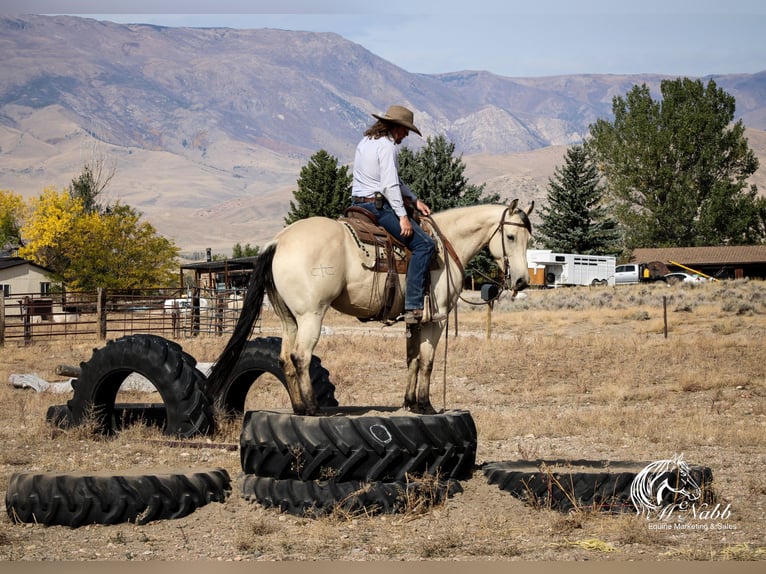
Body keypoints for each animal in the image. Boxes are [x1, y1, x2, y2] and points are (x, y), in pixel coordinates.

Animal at [207, 200, 536, 416]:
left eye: (528, 237)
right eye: (510, 236)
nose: (521, 280)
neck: (446, 246)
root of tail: (279, 241)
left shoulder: (414, 320)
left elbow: (412, 360)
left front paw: (409, 403)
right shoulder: (436, 319)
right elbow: (427, 361)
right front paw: (426, 405)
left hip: (290, 318)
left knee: (285, 357)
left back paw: (299, 406)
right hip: (311, 315)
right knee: (300, 356)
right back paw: (313, 408)